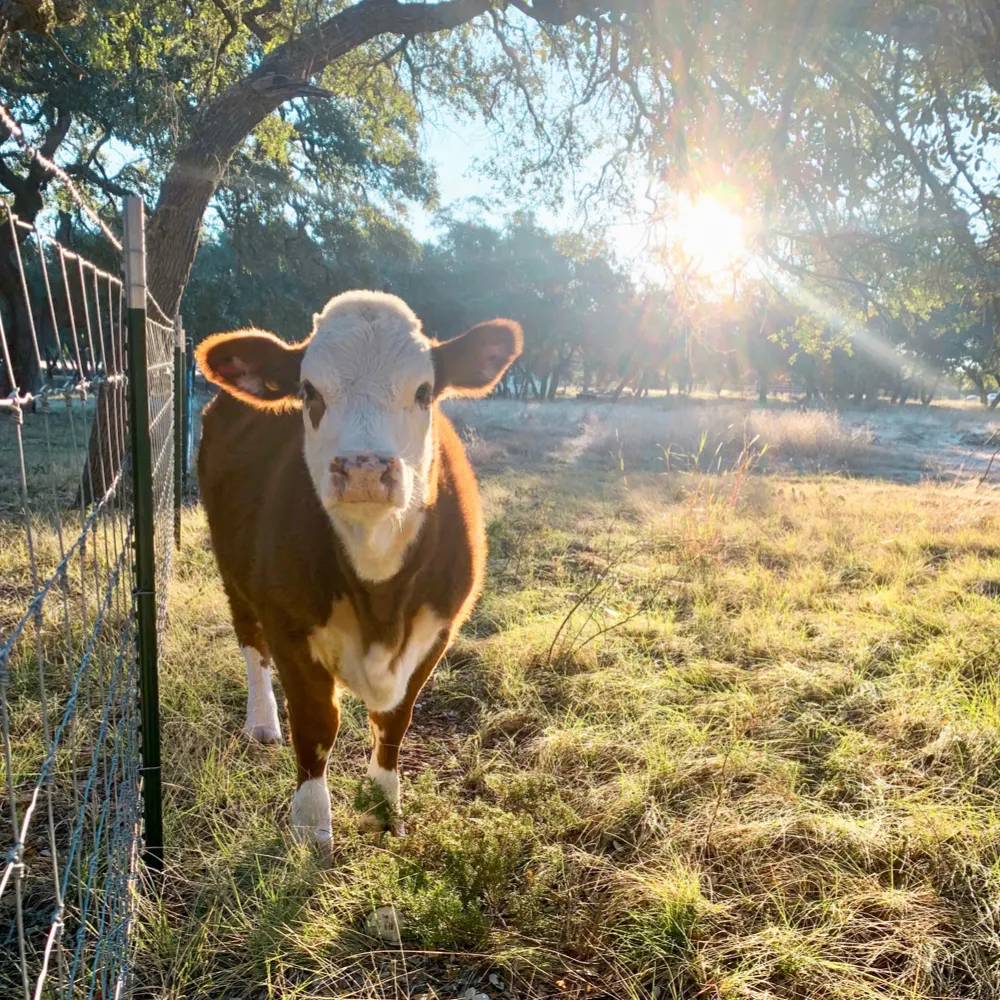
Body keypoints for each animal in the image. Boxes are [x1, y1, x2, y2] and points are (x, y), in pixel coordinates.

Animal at [195, 290, 522, 843]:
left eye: (424, 391)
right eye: (308, 391)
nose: (364, 469)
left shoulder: (441, 627)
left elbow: (395, 719)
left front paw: (383, 806)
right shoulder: (287, 621)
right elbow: (315, 723)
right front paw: (311, 827)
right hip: (231, 567)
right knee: (250, 642)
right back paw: (262, 722)